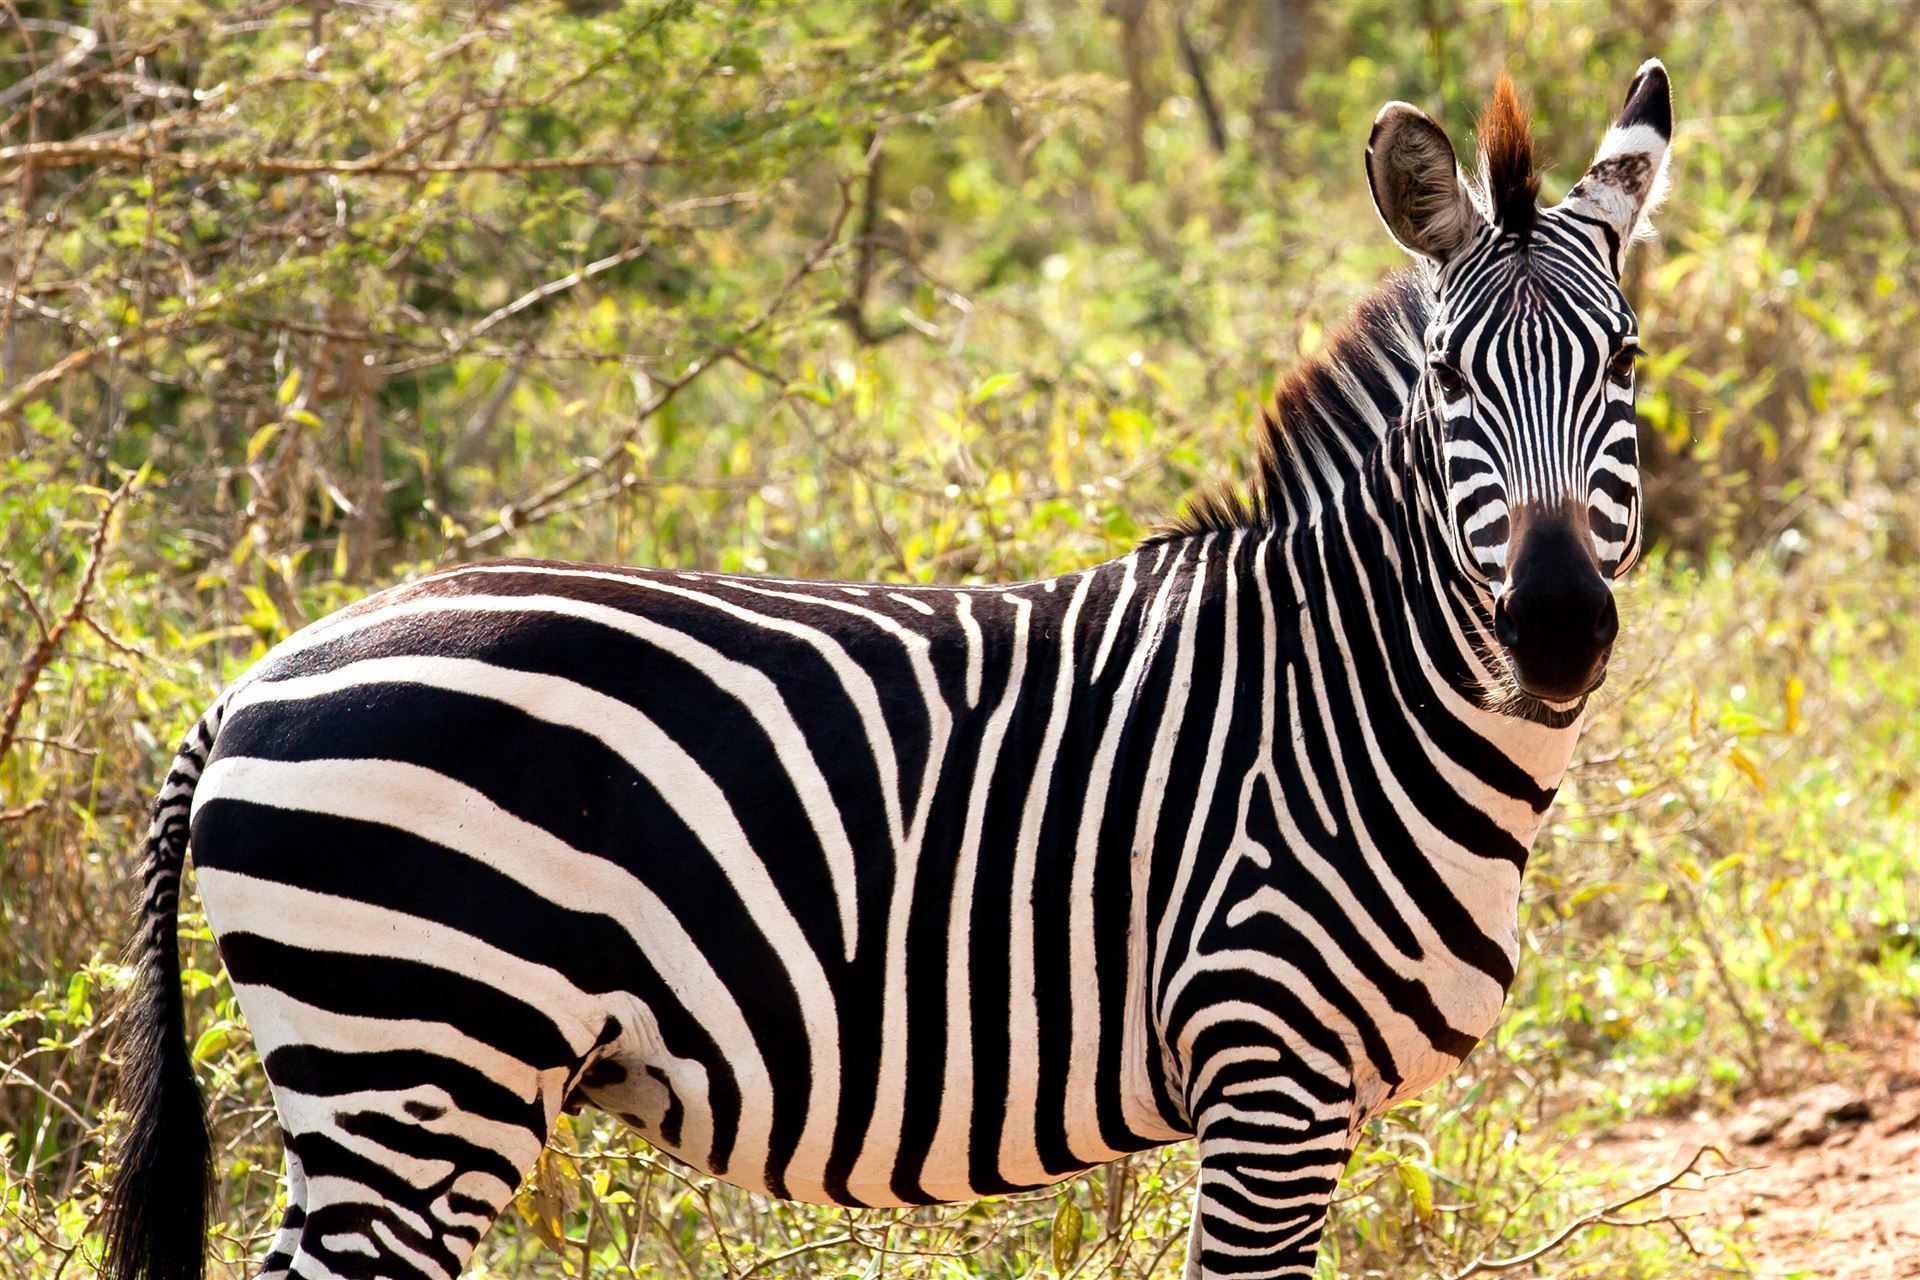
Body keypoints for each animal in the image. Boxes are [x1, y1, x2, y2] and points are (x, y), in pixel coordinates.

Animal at [102, 62, 1672, 1280]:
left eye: (1627, 368)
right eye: (1454, 382)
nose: (1555, 629)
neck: (1347, 696)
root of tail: (248, 682)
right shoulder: (1266, 1065)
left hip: (375, 1077)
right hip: (421, 1056)